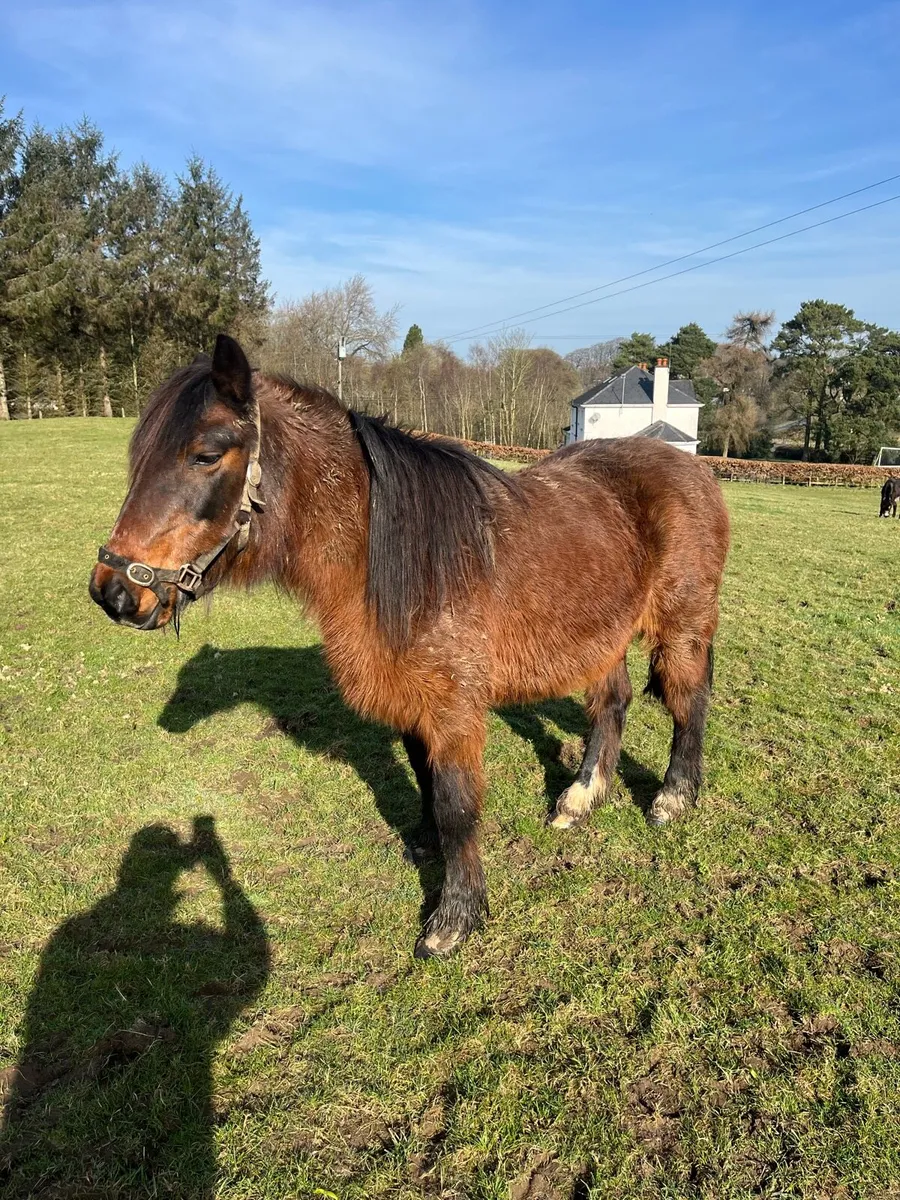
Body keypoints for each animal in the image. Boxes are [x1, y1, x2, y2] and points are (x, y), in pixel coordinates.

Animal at [90, 335, 730, 958]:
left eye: (205, 454)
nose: (113, 593)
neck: (400, 559)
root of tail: (694, 469)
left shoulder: (452, 709)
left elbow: (456, 804)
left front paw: (456, 917)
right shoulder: (413, 699)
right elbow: (425, 781)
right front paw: (425, 845)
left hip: (681, 626)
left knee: (688, 704)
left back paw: (674, 797)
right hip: (602, 635)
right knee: (612, 704)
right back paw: (580, 798)